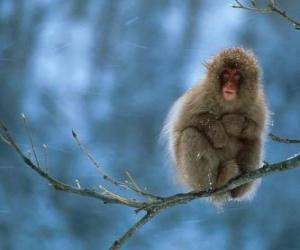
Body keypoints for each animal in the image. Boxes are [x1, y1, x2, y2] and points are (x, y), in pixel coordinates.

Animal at [164, 47, 270, 204]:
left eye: (237, 75)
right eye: (225, 74)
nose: (229, 85)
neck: (227, 103)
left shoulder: (257, 104)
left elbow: (256, 128)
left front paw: (233, 122)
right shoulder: (199, 96)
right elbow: (188, 122)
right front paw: (219, 135)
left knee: (254, 140)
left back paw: (239, 189)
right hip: (195, 180)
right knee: (190, 134)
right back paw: (217, 182)